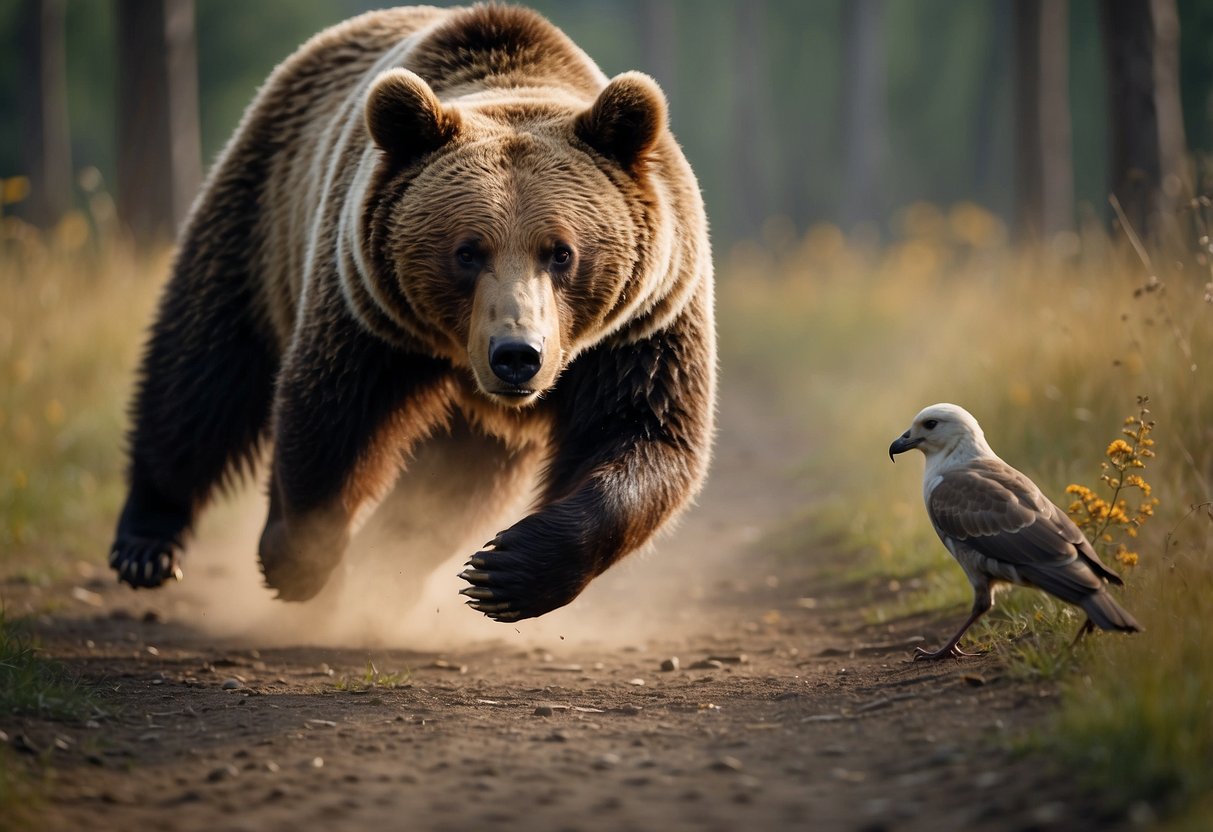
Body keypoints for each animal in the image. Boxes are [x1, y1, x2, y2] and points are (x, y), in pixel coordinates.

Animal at [109, 4, 713, 618]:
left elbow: (644, 435)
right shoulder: (371, 314)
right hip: (261, 210)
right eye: (468, 251)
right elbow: (328, 414)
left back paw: (385, 568)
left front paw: (504, 571)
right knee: (205, 366)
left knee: (455, 484)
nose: (517, 354)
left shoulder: (640, 330)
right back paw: (148, 540)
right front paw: (294, 560)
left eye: (561, 251)